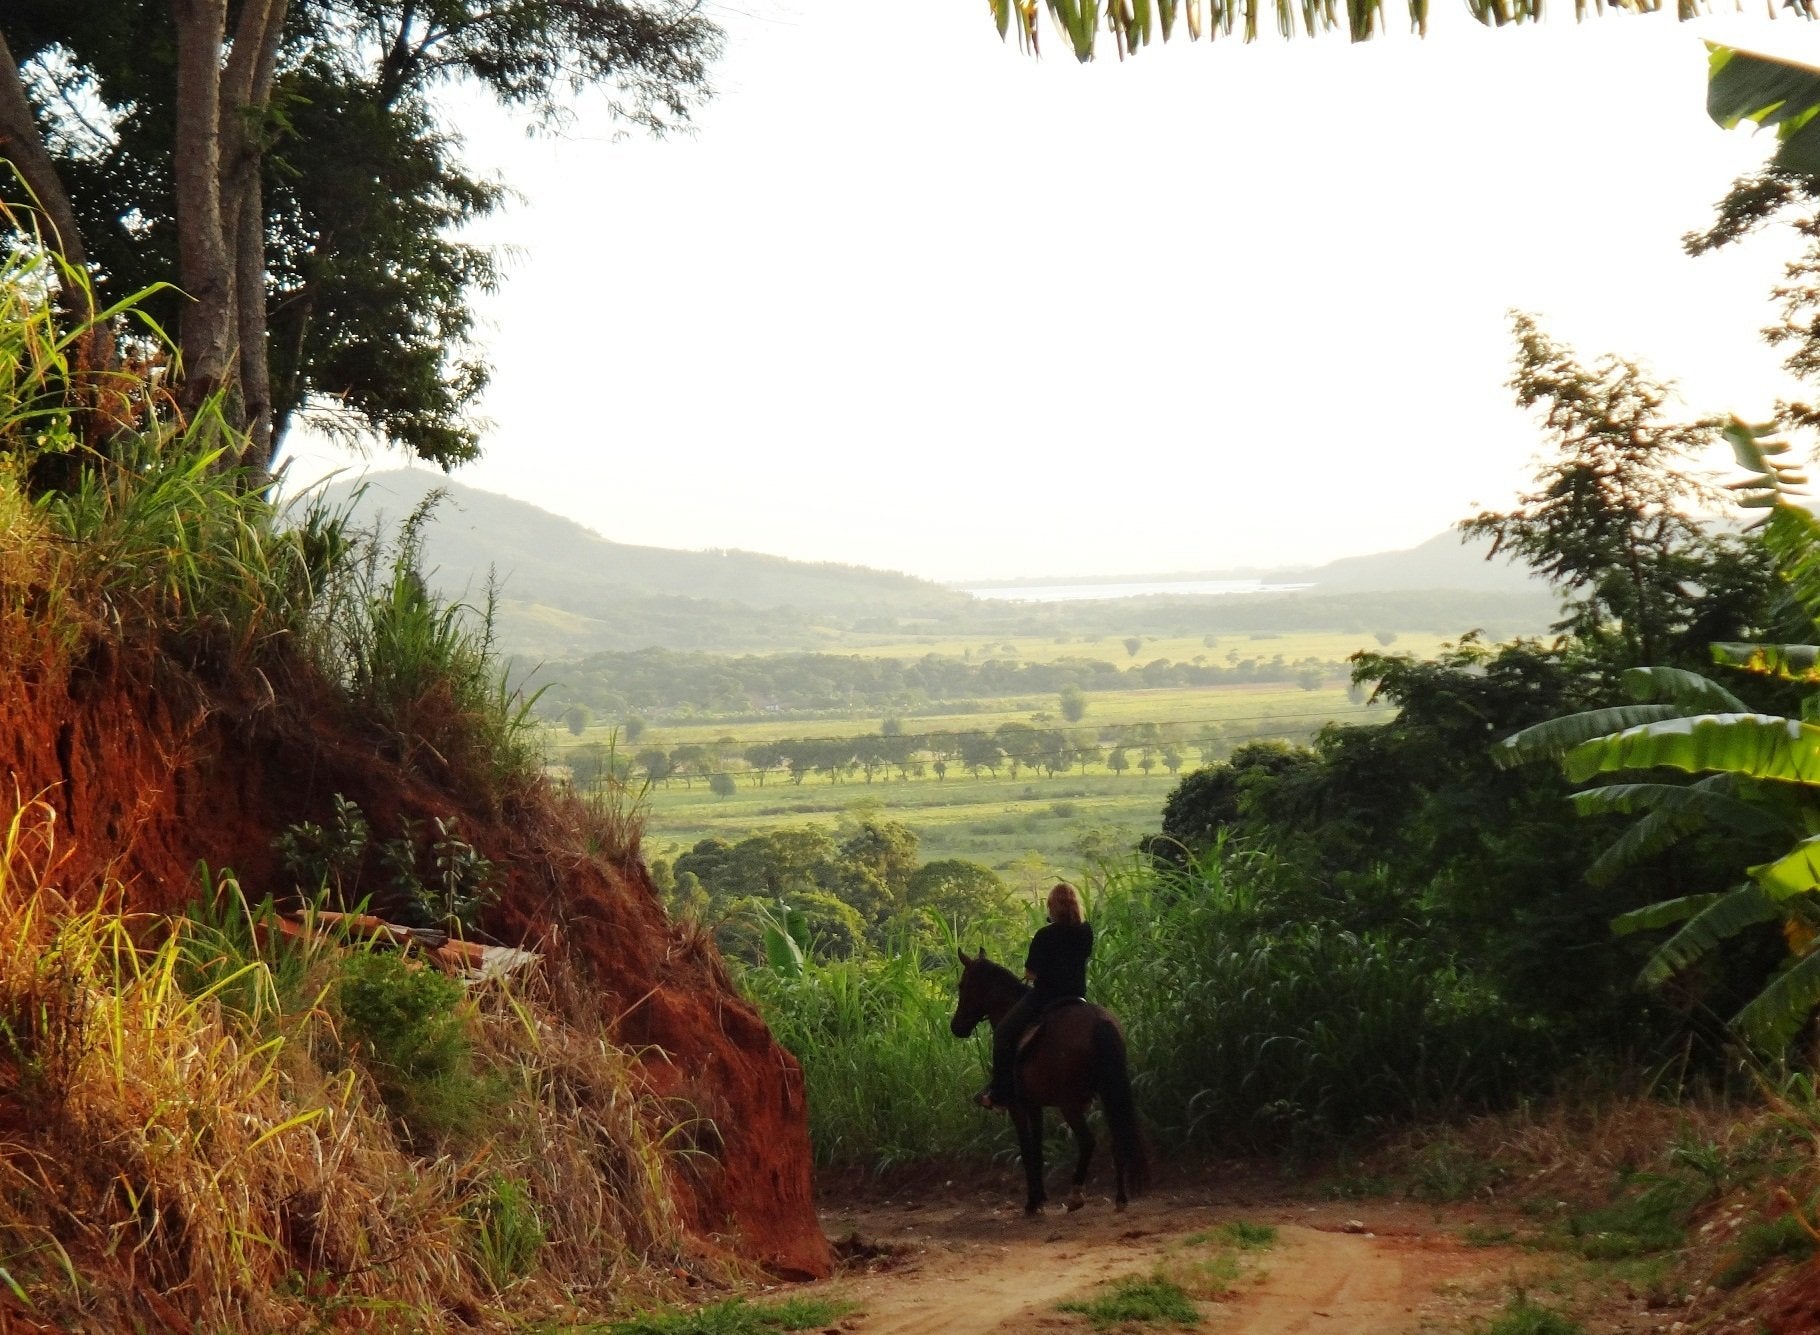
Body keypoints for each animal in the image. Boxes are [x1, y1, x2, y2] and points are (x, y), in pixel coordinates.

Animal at [946, 945, 1142, 1214]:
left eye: (962, 985)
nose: (956, 1027)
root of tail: (1099, 1021)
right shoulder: (1035, 1105)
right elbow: (1038, 1149)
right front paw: (1040, 1197)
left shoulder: (1018, 1107)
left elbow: (1028, 1150)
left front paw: (1033, 1201)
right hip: (1108, 1094)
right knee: (1117, 1139)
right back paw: (1121, 1198)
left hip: (1069, 1104)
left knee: (1088, 1142)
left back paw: (1076, 1196)